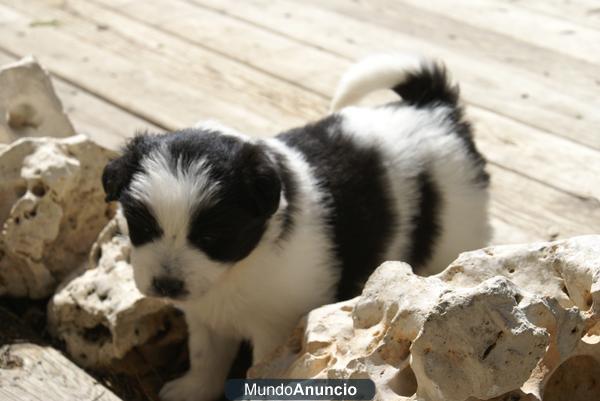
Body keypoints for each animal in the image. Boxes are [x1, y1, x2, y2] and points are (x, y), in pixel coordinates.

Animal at [102, 54, 488, 400]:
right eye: (143, 228)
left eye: (213, 237)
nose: (166, 285)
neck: (237, 269)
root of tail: (433, 108)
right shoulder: (206, 318)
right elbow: (205, 359)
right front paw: (192, 391)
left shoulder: (277, 330)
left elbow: (261, 371)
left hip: (457, 231)